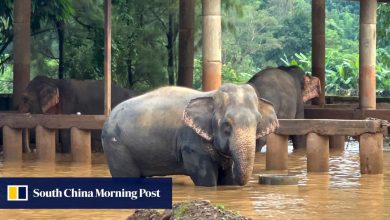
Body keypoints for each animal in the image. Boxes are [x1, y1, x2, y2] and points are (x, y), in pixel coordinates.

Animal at [100, 83, 278, 186]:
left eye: (258, 122)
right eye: (226, 125)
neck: (211, 95)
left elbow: (227, 179)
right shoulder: (191, 142)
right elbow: (204, 176)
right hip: (116, 146)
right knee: (126, 176)